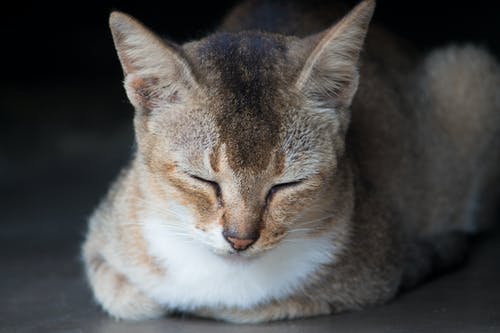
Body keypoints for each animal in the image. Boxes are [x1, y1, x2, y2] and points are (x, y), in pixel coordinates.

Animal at [82, 0, 500, 322]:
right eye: (202, 180)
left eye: (287, 185)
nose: (239, 239)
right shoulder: (101, 238)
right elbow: (128, 296)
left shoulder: (379, 269)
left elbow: (261, 306)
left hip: (470, 71)